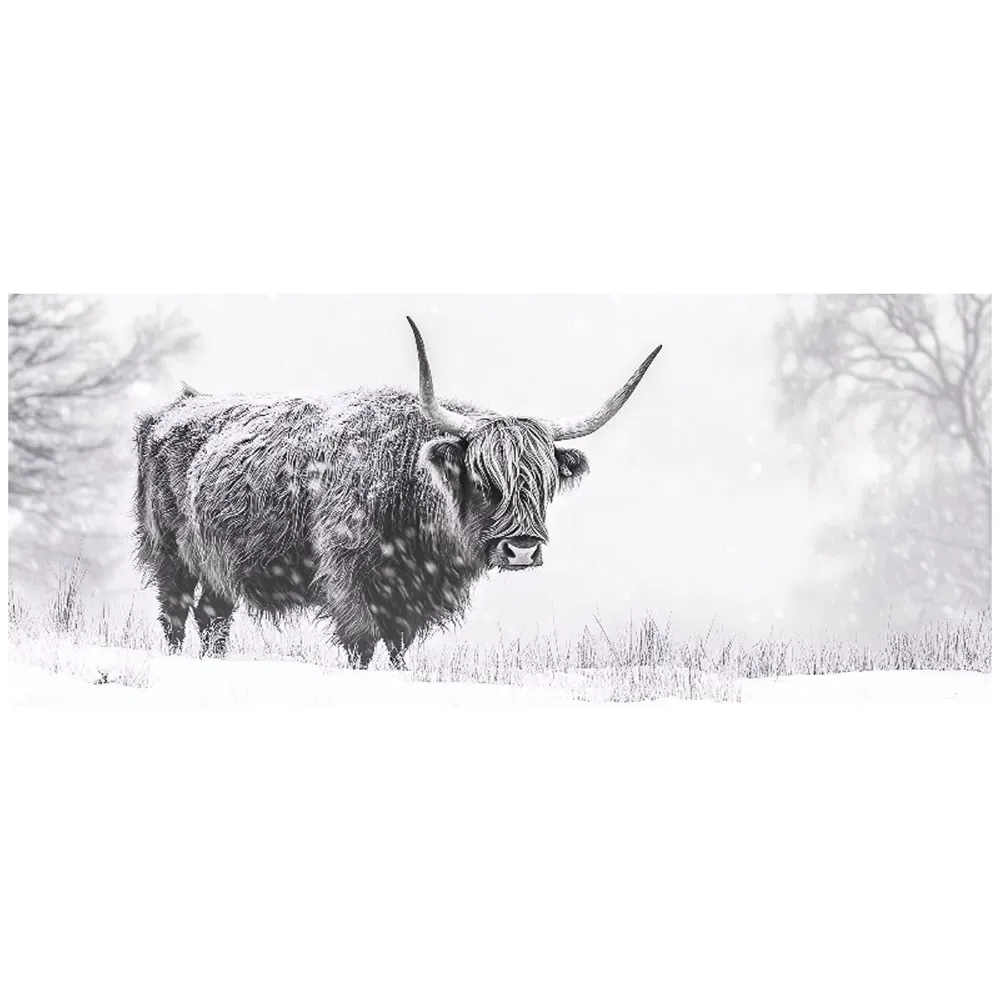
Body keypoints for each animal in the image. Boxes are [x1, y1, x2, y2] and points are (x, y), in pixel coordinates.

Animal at [133, 318, 661, 667]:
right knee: (176, 614)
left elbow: (398, 646)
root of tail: (177, 407)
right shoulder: (345, 575)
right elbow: (363, 642)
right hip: (168, 552)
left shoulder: (413, 595)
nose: (523, 549)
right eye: (483, 478)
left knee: (214, 616)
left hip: (217, 563)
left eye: (545, 483)